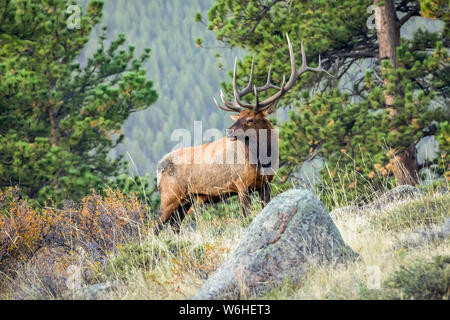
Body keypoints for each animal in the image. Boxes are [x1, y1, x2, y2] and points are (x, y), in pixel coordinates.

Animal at [154, 35, 326, 234]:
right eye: (239, 116)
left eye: (250, 119)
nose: (228, 130)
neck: (262, 160)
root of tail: (158, 168)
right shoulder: (241, 184)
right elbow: (246, 217)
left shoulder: (266, 184)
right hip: (169, 196)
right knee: (154, 227)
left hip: (185, 200)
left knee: (174, 226)